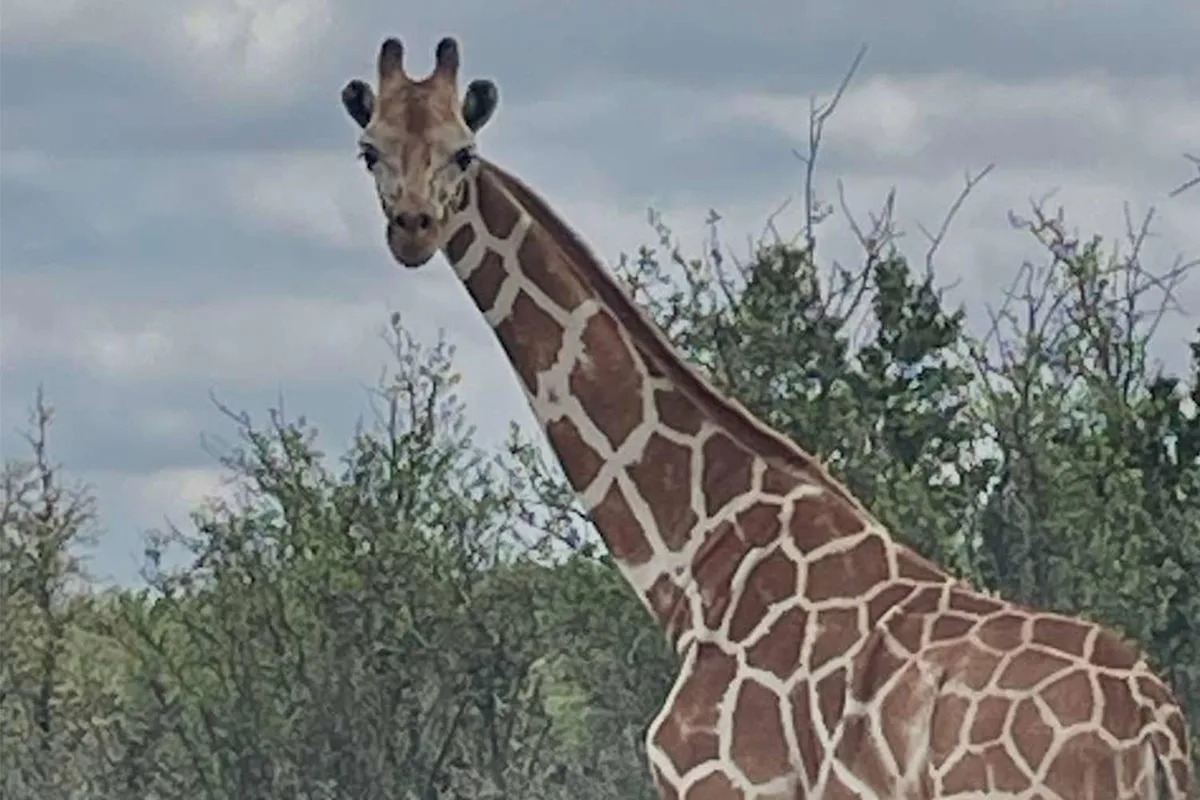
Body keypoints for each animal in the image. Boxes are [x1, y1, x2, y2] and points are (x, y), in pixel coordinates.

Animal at [339, 36, 1196, 799]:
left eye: (463, 153)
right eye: (370, 151)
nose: (413, 229)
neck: (696, 560)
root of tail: (1155, 735)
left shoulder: (722, 783)